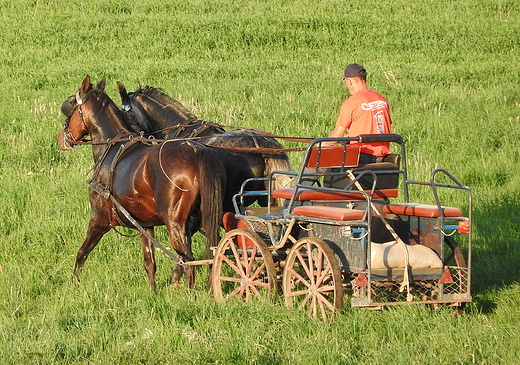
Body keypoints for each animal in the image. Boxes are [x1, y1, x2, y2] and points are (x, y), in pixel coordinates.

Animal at [58, 76, 225, 290]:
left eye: (70, 107)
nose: (62, 138)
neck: (111, 145)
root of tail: (197, 152)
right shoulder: (145, 225)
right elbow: (149, 262)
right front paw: (153, 292)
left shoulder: (99, 218)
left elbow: (82, 253)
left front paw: (73, 284)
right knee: (217, 249)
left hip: (176, 224)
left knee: (188, 260)